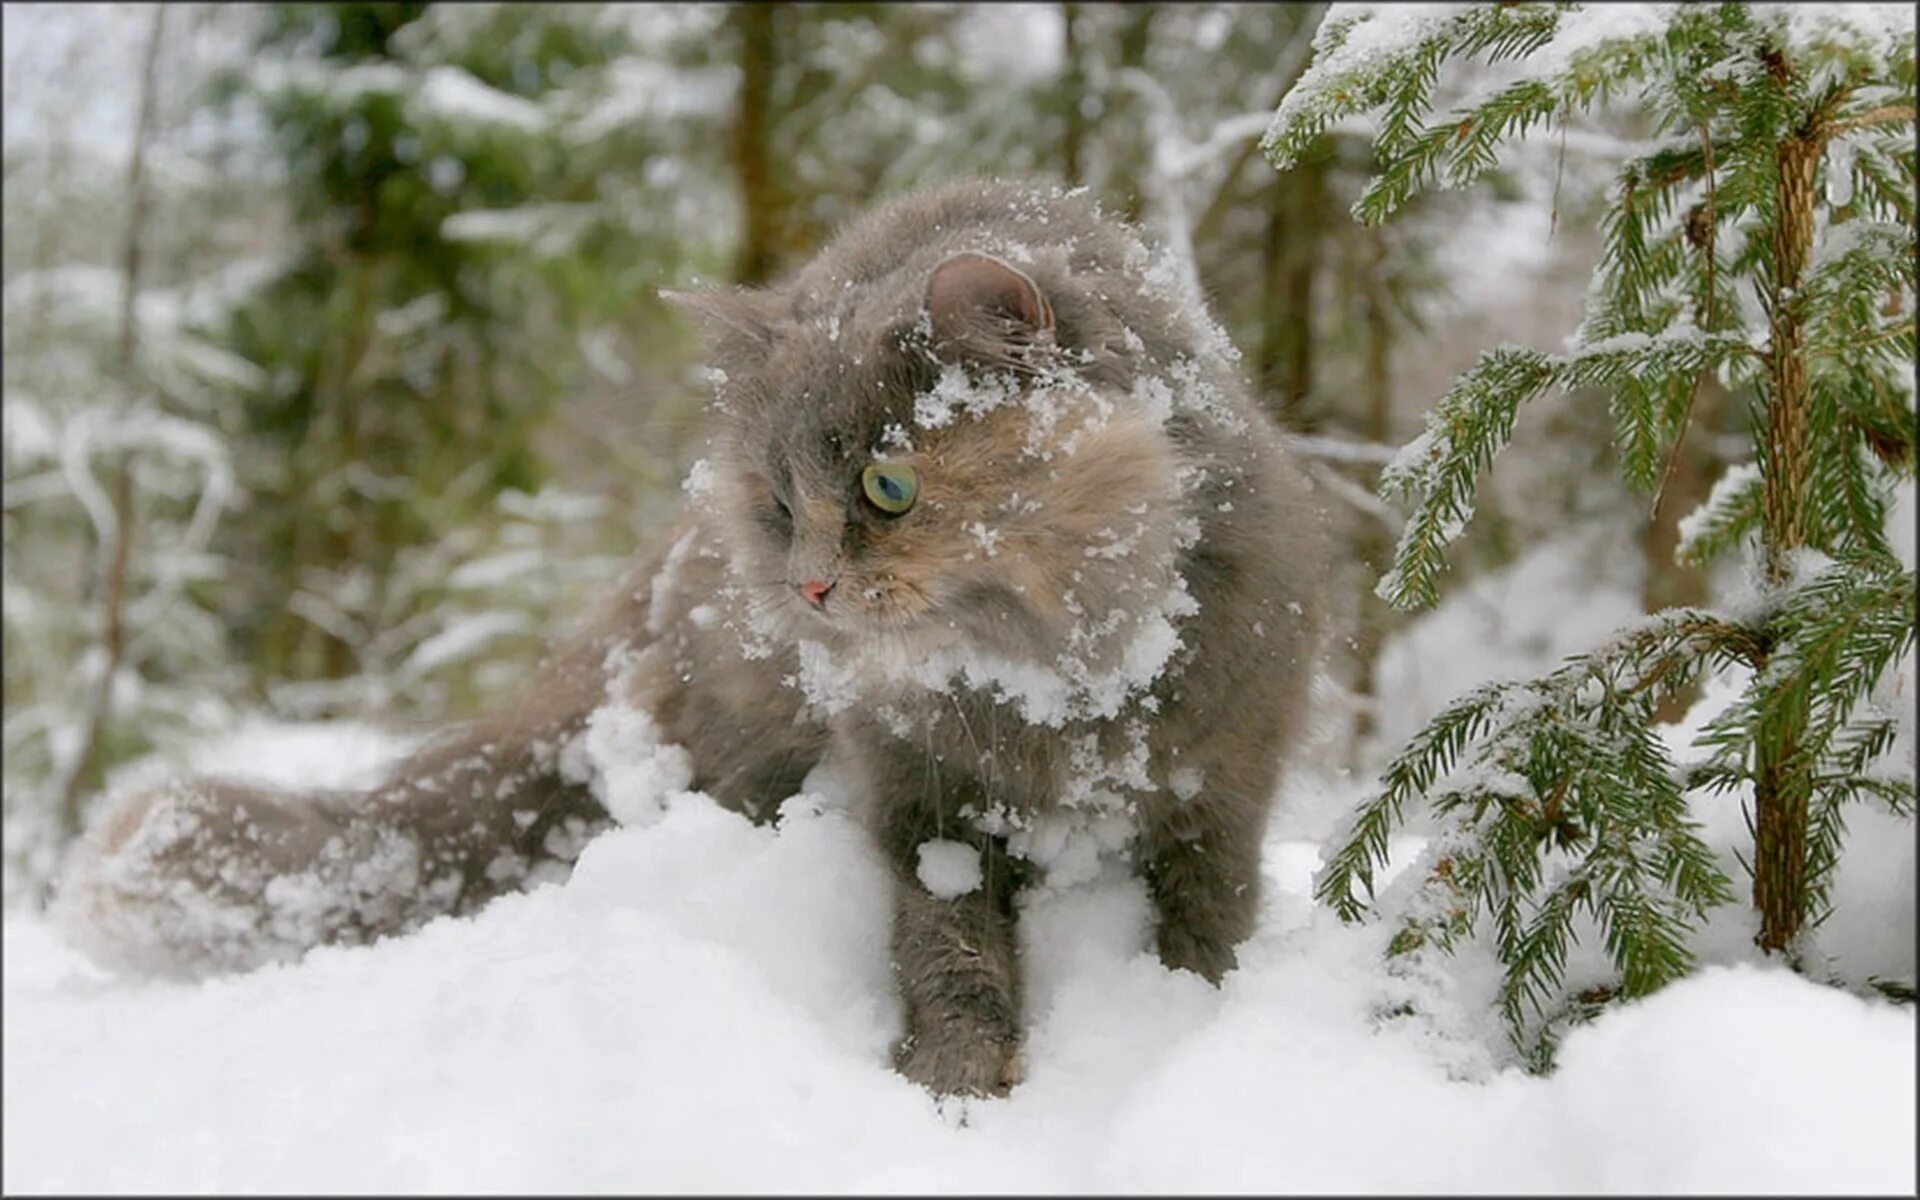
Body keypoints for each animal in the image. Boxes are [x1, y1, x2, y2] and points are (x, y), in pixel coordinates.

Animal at [56, 175, 1320, 1098]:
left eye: (889, 487)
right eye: (781, 501)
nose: (811, 586)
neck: (1060, 686)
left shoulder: (1223, 785)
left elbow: (1206, 929)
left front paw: (1182, 1029)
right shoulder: (925, 799)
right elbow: (946, 950)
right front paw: (955, 1089)